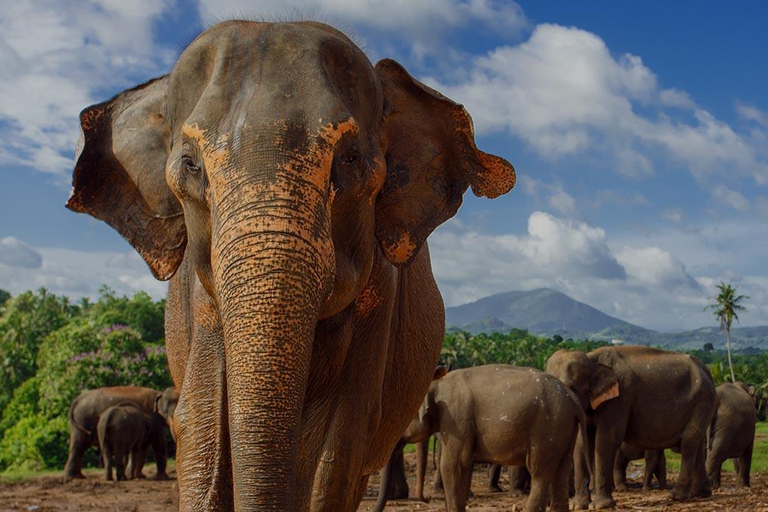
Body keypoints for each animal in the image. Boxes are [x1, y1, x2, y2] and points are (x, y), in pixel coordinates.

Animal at [64, 18, 516, 510]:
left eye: (350, 160)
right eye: (190, 165)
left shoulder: (380, 296)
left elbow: (338, 442)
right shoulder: (200, 299)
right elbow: (201, 423)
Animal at [392, 364, 584, 512]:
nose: (427, 499)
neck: (437, 384)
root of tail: (572, 398)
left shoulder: (456, 418)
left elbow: (451, 466)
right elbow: (463, 465)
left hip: (548, 429)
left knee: (540, 474)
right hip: (564, 431)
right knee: (561, 472)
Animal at [544, 346, 712, 510]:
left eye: (572, 388)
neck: (591, 358)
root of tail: (706, 369)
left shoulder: (620, 398)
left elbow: (607, 438)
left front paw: (600, 506)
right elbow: (580, 442)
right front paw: (578, 505)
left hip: (701, 401)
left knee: (688, 443)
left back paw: (676, 496)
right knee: (697, 444)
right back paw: (701, 494)